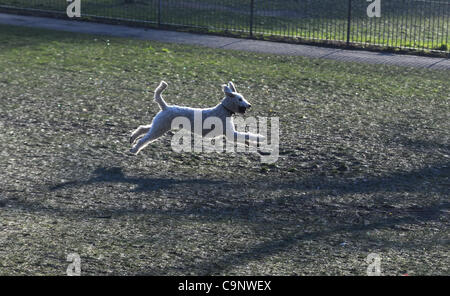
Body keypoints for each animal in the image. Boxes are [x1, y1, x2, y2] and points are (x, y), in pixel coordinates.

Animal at [129, 81, 264, 155]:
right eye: (240, 99)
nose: (249, 105)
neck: (224, 109)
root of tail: (165, 107)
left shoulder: (231, 135)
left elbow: (245, 138)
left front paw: (256, 144)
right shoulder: (231, 134)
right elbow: (246, 135)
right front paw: (261, 138)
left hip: (158, 125)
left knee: (142, 129)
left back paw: (132, 138)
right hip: (159, 128)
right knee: (144, 139)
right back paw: (134, 150)